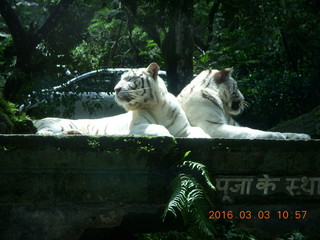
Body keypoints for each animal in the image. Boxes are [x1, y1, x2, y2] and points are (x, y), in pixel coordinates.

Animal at [33, 62, 210, 139]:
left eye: (130, 79)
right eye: (120, 79)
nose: (115, 89)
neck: (158, 106)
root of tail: (37, 119)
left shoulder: (184, 128)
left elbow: (200, 132)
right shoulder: (137, 127)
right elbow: (158, 128)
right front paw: (167, 135)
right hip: (58, 123)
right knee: (43, 133)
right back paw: (72, 133)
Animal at [178, 67, 310, 141]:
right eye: (236, 86)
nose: (244, 98)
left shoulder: (232, 124)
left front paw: (302, 136)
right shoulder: (212, 126)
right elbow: (250, 131)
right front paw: (276, 135)